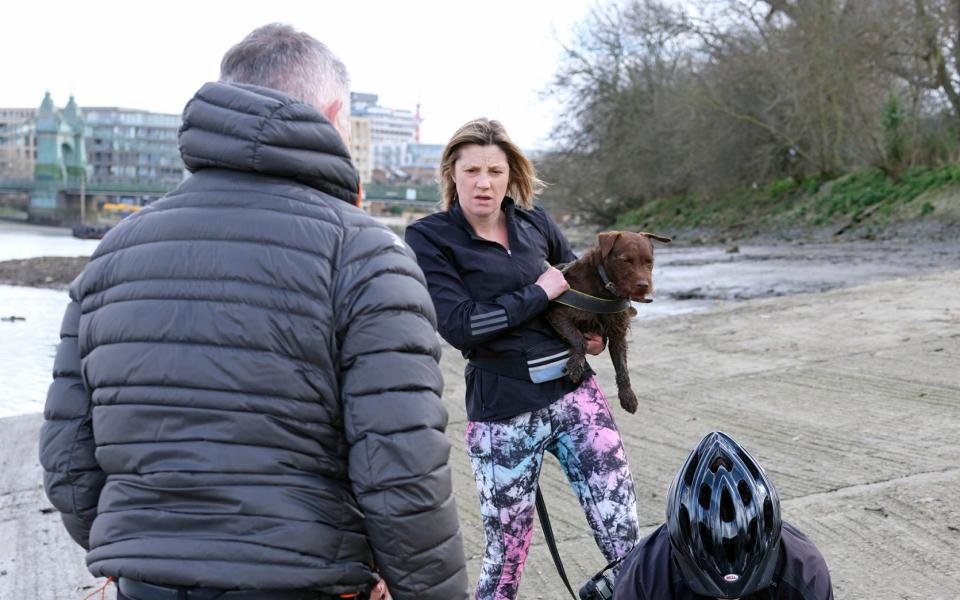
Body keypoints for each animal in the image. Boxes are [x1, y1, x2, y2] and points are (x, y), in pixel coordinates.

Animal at [544, 230, 672, 412]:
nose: (643, 285)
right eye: (625, 260)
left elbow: (622, 366)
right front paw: (576, 365)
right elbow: (579, 340)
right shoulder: (556, 313)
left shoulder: (618, 333)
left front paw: (627, 396)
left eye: (649, 261)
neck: (604, 287)